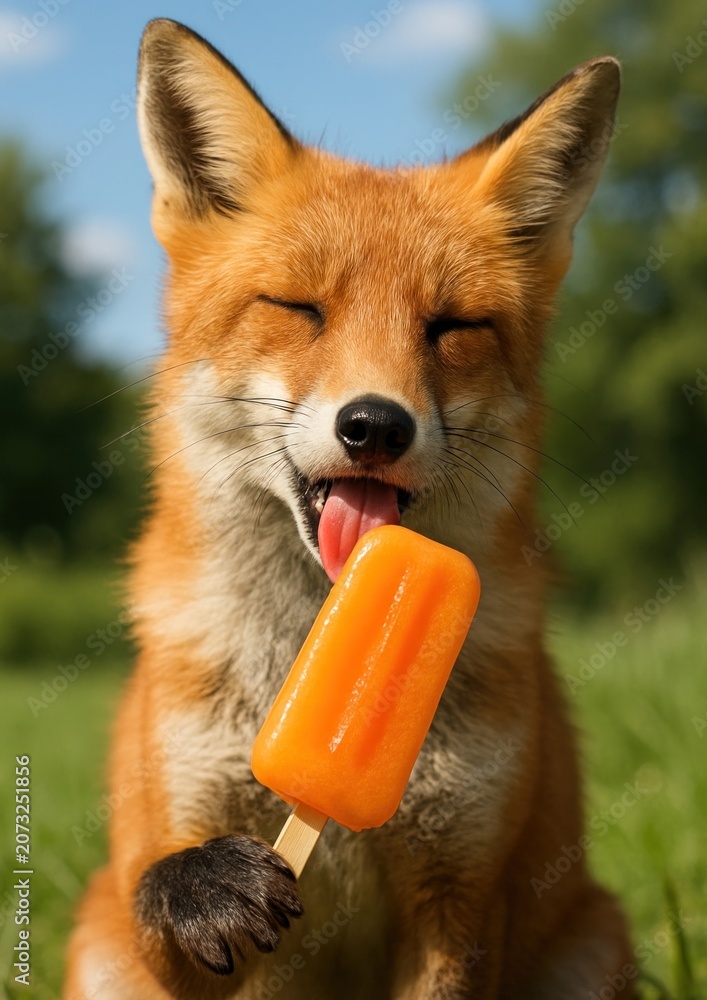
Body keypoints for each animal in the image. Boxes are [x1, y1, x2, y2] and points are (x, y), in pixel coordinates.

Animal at [64, 18, 633, 1000]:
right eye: (299, 308)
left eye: (451, 327)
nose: (374, 425)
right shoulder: (188, 857)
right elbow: (165, 891)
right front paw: (198, 883)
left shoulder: (462, 891)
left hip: (594, 940)